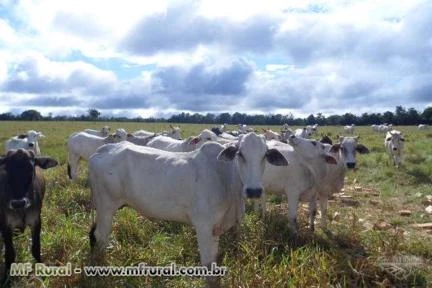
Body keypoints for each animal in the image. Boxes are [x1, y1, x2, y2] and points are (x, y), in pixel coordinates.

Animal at [0, 150, 57, 284]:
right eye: (7, 169)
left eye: (31, 169)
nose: (18, 203)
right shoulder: (6, 224)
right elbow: (10, 253)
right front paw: (6, 279)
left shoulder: (36, 221)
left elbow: (36, 248)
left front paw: (41, 272)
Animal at [88, 133, 288, 286]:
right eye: (240, 154)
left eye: (265, 154)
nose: (254, 190)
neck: (226, 178)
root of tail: (100, 151)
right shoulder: (203, 226)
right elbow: (207, 267)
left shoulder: (215, 230)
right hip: (106, 207)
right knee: (100, 237)